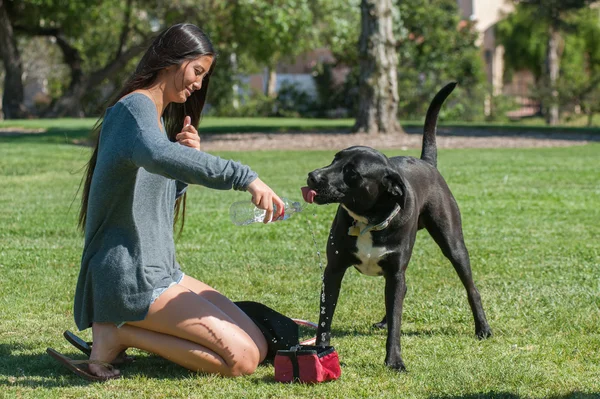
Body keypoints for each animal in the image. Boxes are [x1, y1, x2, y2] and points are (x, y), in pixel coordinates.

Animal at [302, 82, 490, 372]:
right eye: (334, 159)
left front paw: (394, 360)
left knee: (471, 288)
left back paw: (482, 328)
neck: (368, 221)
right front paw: (321, 351)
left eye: (352, 172)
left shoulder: (395, 270)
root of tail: (427, 162)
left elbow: (397, 320)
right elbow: (326, 316)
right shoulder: (333, 270)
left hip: (453, 244)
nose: (313, 176)